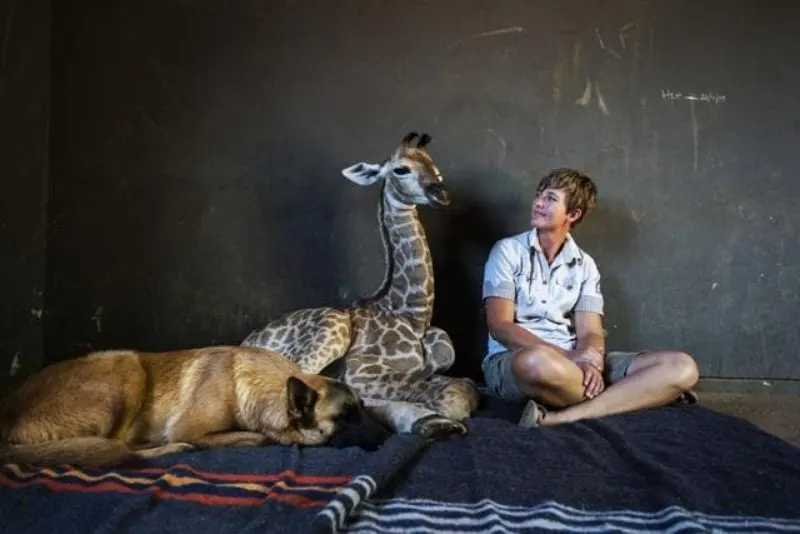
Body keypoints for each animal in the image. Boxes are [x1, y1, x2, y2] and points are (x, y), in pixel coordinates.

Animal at [0, 346, 390, 466]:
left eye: (363, 407)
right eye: (345, 417)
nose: (389, 437)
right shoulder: (192, 427)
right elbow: (261, 438)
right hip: (126, 367)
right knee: (119, 449)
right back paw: (166, 449)